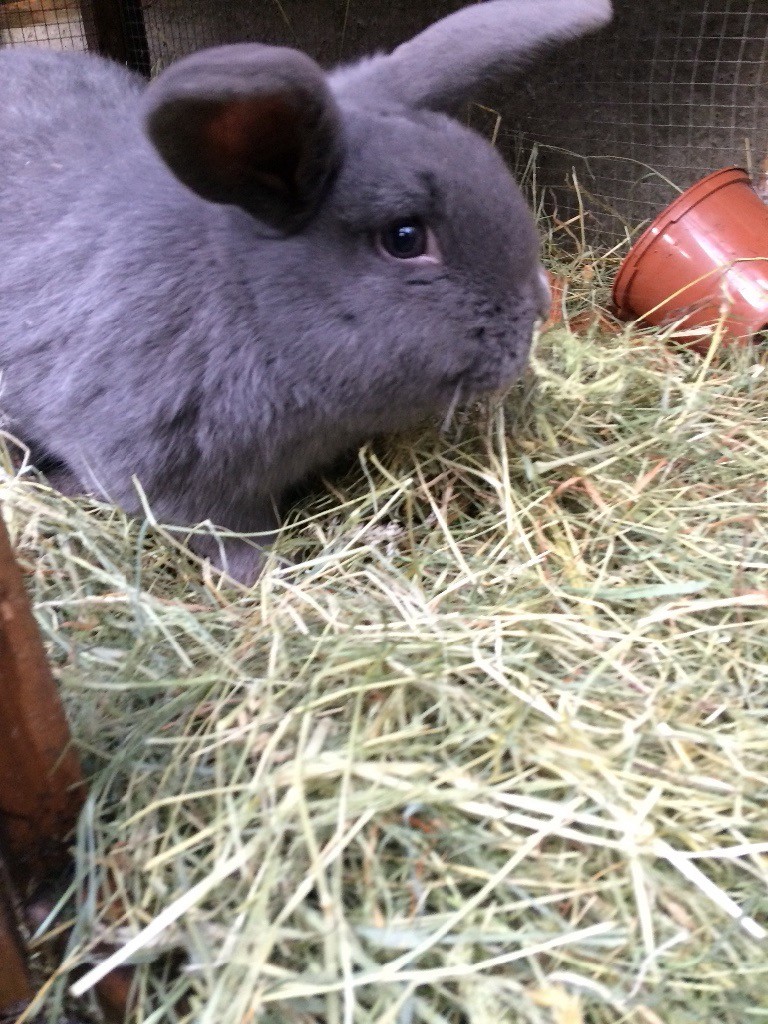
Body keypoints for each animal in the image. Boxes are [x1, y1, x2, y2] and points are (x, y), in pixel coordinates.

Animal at [0, 0, 612, 584]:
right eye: (405, 238)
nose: (538, 307)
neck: (241, 301)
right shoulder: (176, 479)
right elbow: (230, 538)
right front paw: (261, 579)